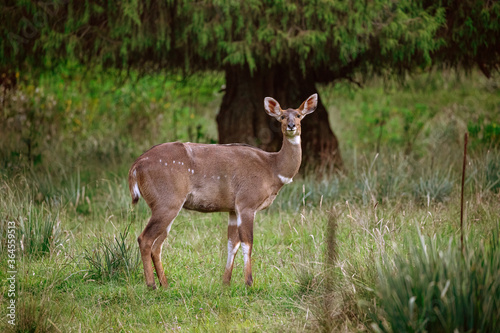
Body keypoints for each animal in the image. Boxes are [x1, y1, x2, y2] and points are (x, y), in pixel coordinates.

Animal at [128, 93, 316, 288]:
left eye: (299, 115)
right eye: (282, 116)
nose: (291, 126)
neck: (272, 169)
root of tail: (136, 166)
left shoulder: (233, 209)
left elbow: (232, 244)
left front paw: (226, 282)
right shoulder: (246, 203)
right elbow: (248, 242)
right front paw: (249, 282)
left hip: (166, 206)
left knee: (157, 244)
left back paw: (164, 284)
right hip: (167, 202)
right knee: (145, 239)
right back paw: (152, 285)